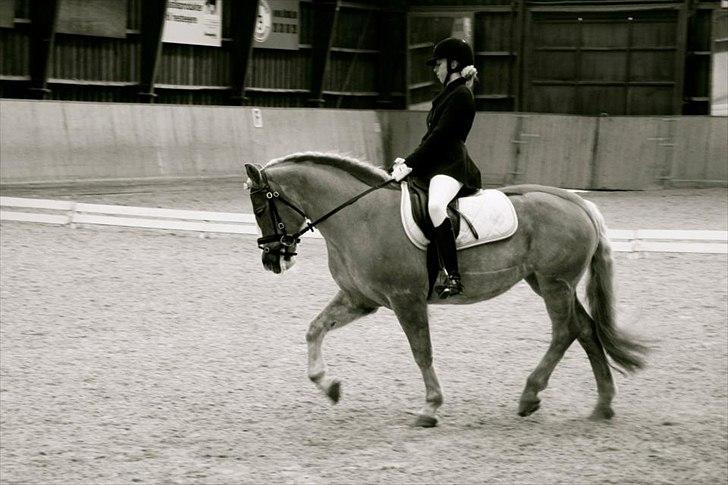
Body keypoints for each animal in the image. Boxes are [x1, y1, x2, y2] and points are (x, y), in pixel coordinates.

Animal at [246, 151, 648, 428]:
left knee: (565, 331)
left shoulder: (406, 300)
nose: (272, 260)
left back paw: (530, 396)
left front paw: (430, 408)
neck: (360, 217)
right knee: (586, 329)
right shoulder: (360, 299)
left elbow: (421, 352)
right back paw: (602, 405)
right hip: (547, 282)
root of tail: (576, 201)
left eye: (262, 207)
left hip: (554, 283)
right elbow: (314, 329)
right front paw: (328, 386)